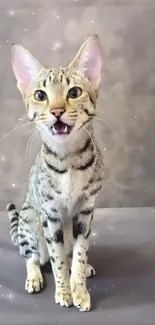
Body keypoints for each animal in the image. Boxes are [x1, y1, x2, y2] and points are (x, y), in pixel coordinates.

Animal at [6, 35, 103, 312]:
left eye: (74, 92)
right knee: (33, 257)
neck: (68, 160)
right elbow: (57, 260)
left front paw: (79, 289)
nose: (57, 111)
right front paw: (64, 292)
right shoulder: (50, 215)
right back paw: (34, 276)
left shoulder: (85, 212)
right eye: (41, 95)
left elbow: (78, 255)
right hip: (30, 220)